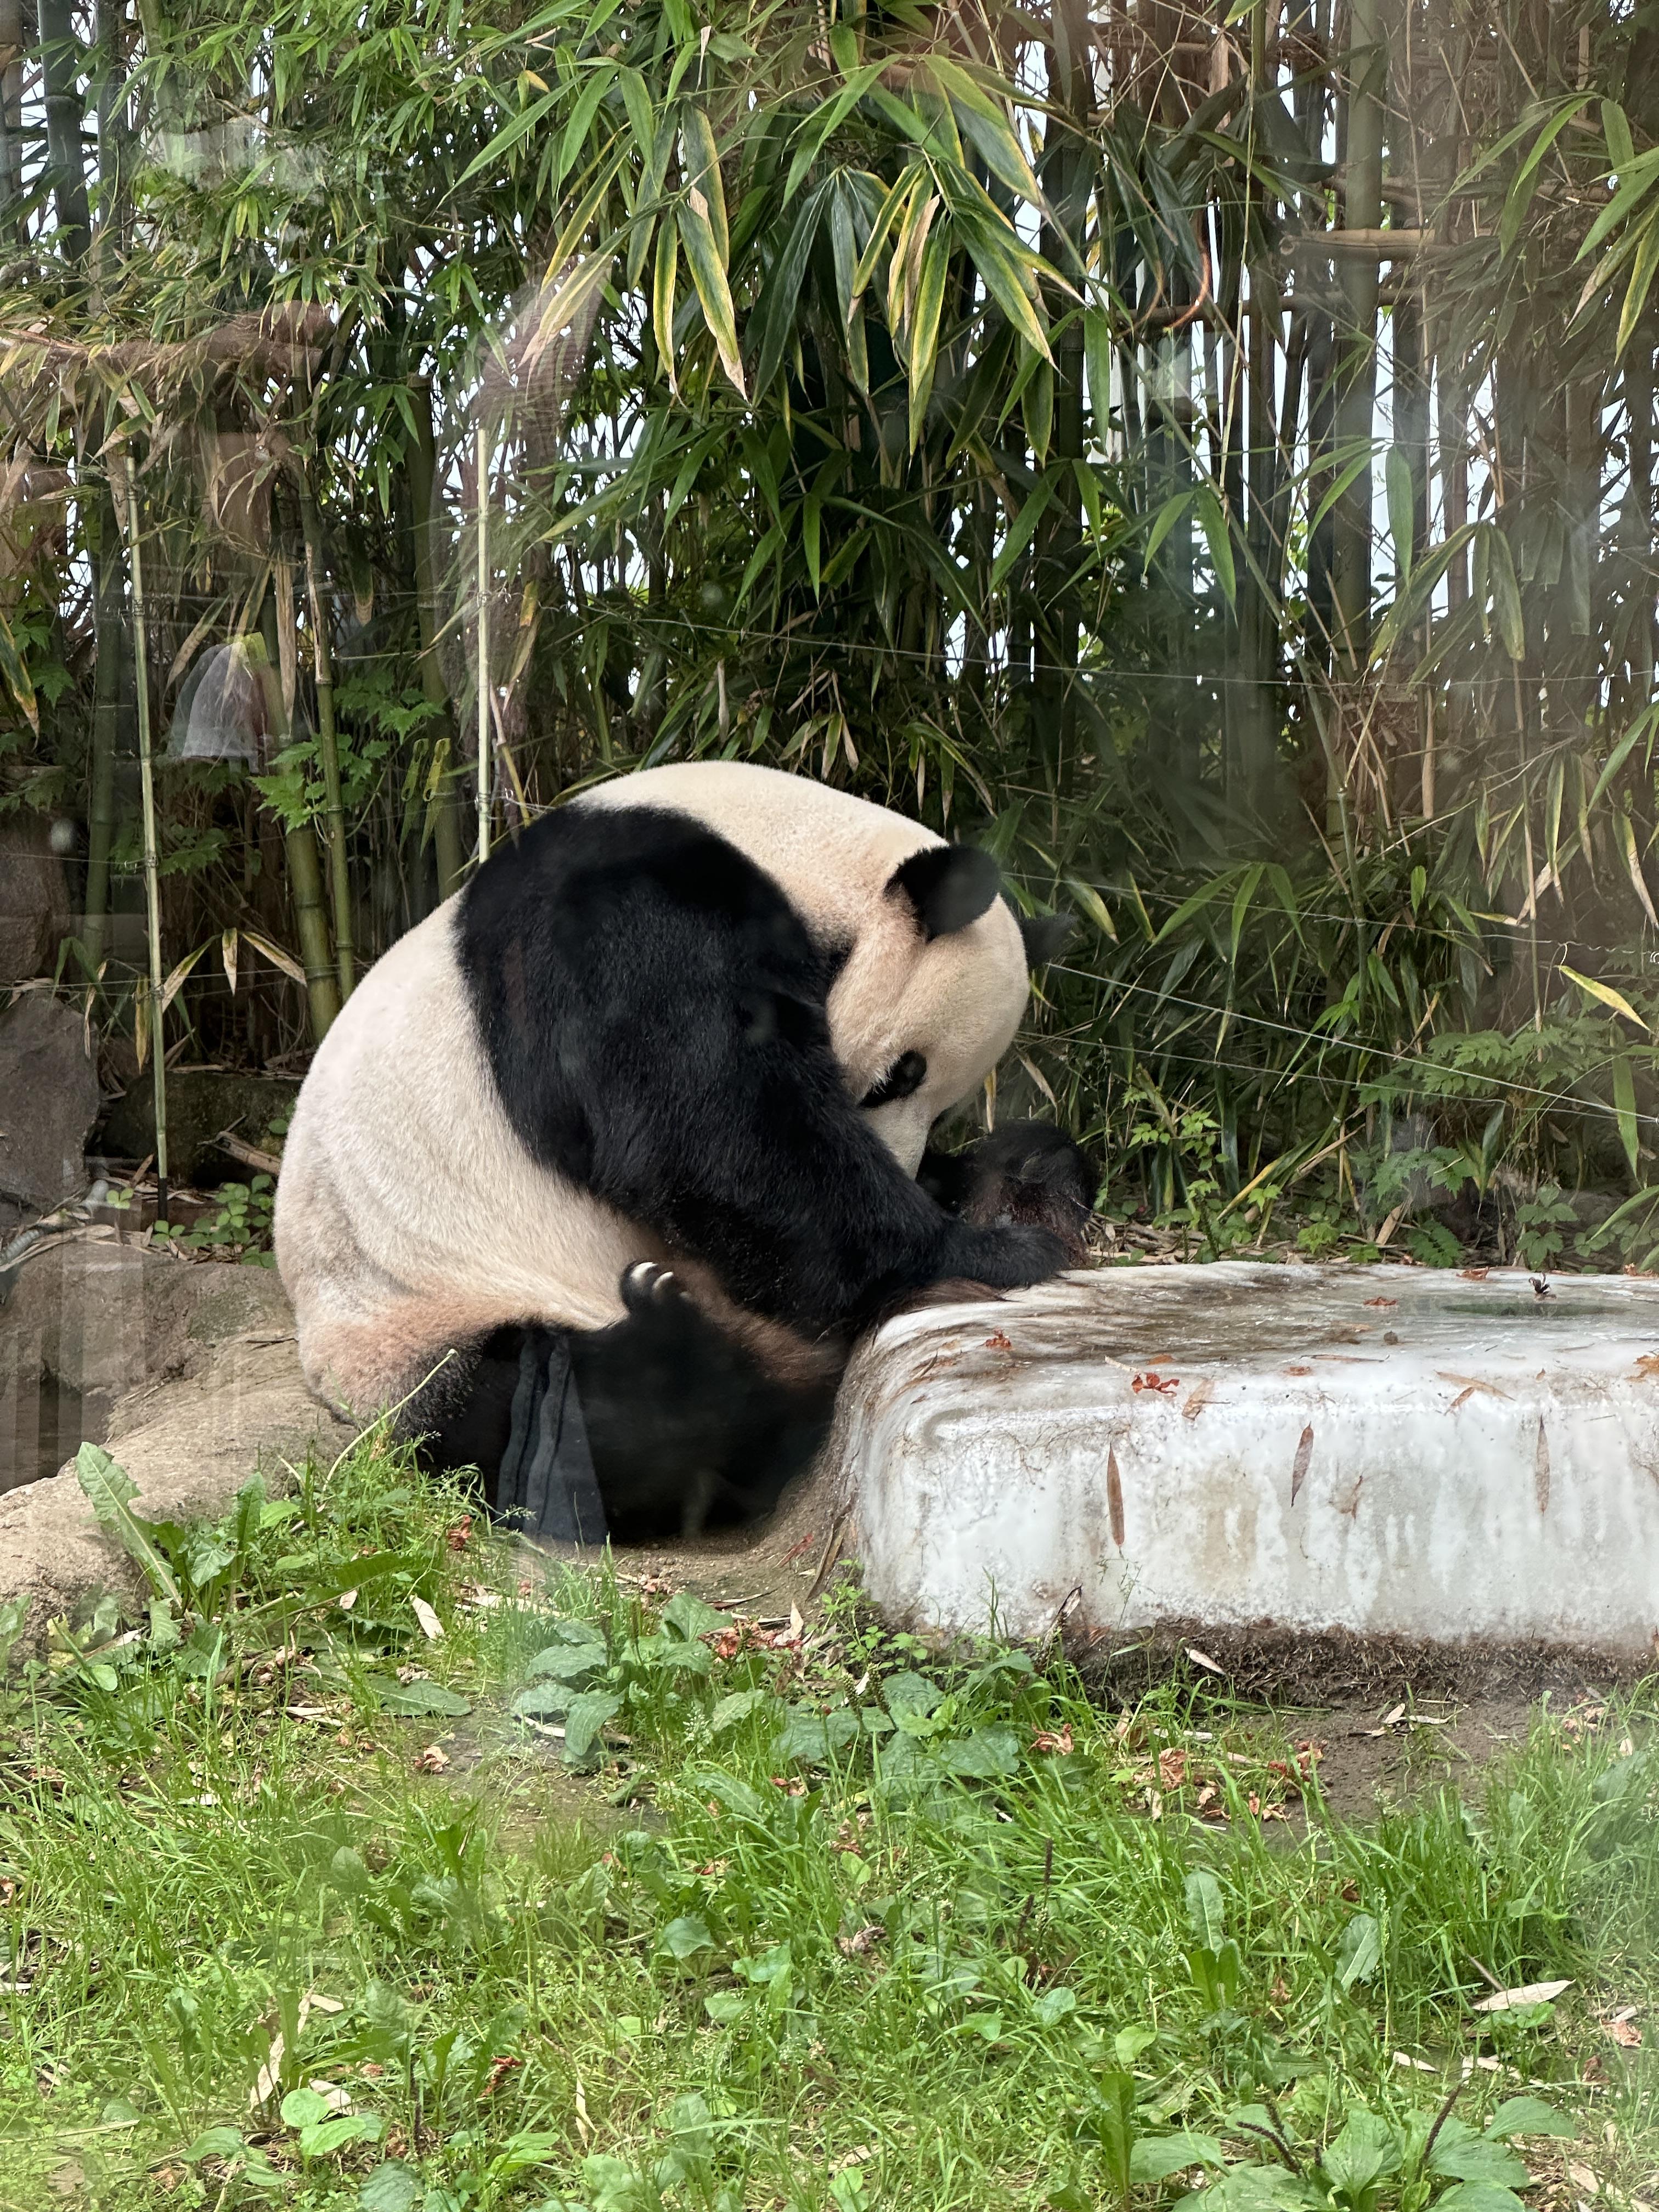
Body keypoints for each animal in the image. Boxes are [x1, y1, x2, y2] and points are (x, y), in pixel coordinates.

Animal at [276, 770, 1092, 1548]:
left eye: (944, 1106)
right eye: (902, 1076)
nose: (907, 1165)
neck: (788, 848)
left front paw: (990, 1189)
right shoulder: (625, 917)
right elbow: (711, 1136)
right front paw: (996, 1248)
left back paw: (1036, 1172)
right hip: (426, 1312)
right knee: (565, 1419)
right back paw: (673, 1348)